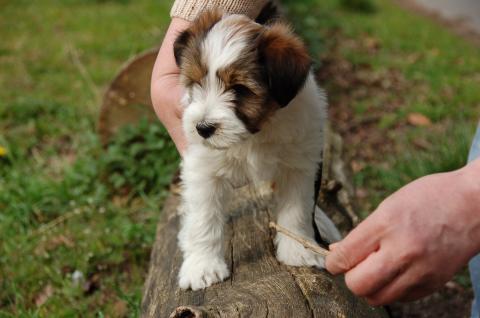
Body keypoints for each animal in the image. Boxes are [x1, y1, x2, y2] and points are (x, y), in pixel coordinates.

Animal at [173, 9, 342, 290]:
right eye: (196, 82)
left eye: (240, 89)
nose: (203, 128)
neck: (255, 134)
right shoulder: (204, 169)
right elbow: (203, 217)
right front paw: (203, 266)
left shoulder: (300, 165)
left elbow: (297, 209)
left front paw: (297, 250)